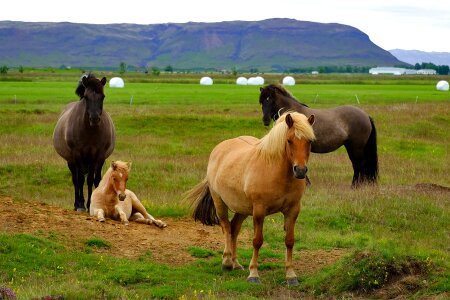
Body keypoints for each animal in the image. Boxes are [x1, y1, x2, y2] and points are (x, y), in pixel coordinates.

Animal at [52, 73, 116, 211]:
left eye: (103, 96)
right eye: (86, 97)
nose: (95, 119)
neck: (89, 131)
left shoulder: (98, 155)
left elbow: (93, 179)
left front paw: (91, 203)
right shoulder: (77, 154)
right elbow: (80, 179)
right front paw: (81, 204)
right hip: (71, 161)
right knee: (75, 180)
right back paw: (77, 204)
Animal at [185, 111, 314, 284]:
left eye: (309, 141)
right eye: (289, 140)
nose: (300, 171)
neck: (276, 172)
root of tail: (219, 149)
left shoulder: (293, 211)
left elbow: (289, 241)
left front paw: (291, 275)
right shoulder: (259, 211)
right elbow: (257, 241)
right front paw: (253, 274)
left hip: (243, 208)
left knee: (234, 228)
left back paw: (236, 263)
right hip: (220, 202)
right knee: (226, 227)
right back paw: (227, 262)